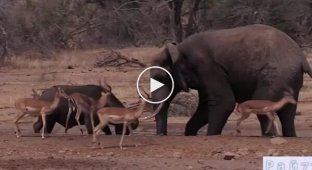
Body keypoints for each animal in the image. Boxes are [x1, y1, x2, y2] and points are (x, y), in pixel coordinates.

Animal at [151, 23, 312, 137]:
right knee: (288, 114)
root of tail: (302, 57)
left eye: (161, 77)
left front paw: (211, 135)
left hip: (276, 75)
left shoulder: (208, 67)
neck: (179, 49)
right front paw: (190, 133)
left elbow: (224, 102)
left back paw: (269, 136)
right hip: (289, 78)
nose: (162, 134)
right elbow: (205, 107)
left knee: (264, 107)